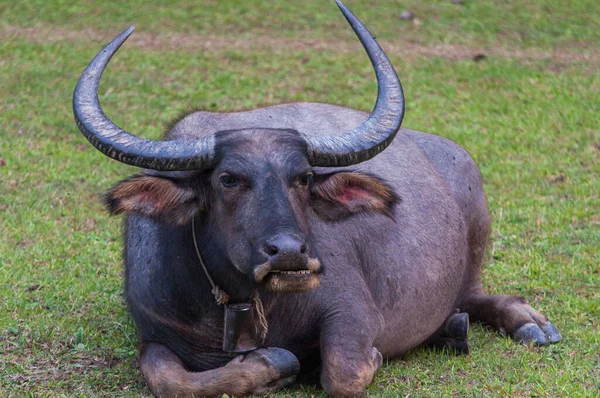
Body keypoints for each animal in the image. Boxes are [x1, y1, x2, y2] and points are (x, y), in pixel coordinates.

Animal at [72, 1, 560, 396]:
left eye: (303, 178)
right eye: (228, 179)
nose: (289, 253)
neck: (241, 300)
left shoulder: (352, 312)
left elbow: (343, 372)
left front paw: (357, 359)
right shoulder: (152, 333)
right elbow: (169, 379)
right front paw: (273, 366)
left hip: (476, 229)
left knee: (475, 294)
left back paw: (530, 324)